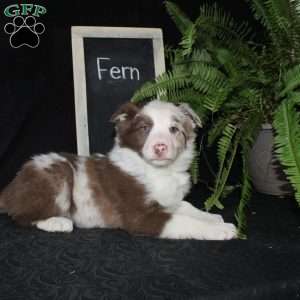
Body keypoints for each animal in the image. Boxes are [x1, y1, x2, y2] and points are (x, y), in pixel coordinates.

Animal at [0, 100, 237, 239]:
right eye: (145, 128)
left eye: (174, 129)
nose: (160, 147)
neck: (158, 171)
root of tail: (10, 189)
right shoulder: (140, 217)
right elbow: (184, 220)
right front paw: (220, 230)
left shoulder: (168, 201)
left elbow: (187, 207)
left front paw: (212, 217)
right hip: (56, 174)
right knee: (22, 216)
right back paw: (57, 222)